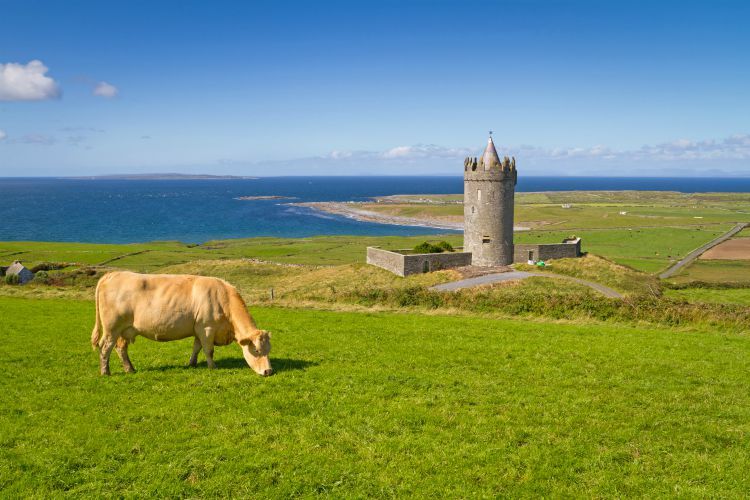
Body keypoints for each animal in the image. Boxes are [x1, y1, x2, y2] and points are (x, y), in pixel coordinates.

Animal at [91, 271, 272, 376]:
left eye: (268, 350)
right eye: (256, 350)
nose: (268, 371)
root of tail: (112, 273)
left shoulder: (198, 329)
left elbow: (196, 347)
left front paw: (192, 363)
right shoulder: (207, 328)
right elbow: (209, 350)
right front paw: (213, 367)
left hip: (125, 330)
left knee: (121, 348)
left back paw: (130, 369)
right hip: (112, 328)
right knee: (105, 347)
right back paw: (105, 372)